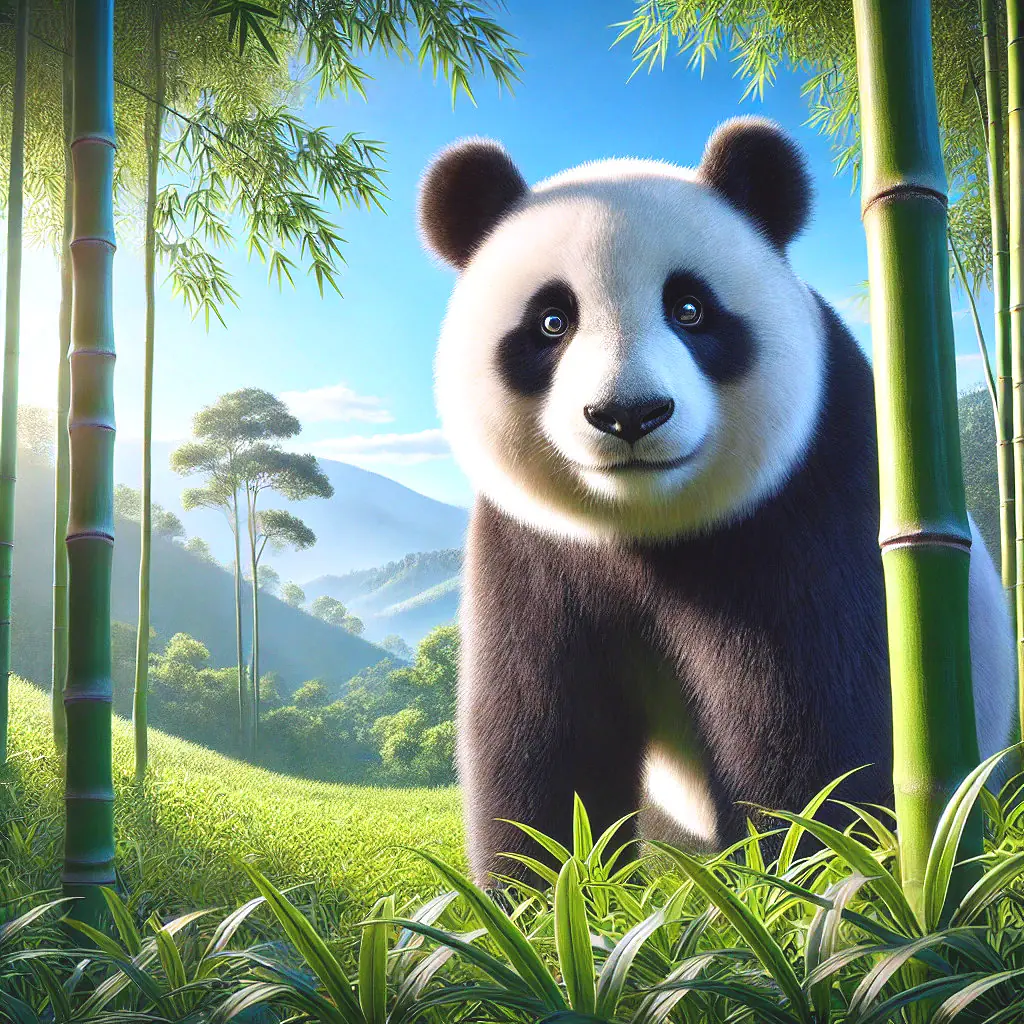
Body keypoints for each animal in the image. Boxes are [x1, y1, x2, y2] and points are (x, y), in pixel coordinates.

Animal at [416, 116, 1016, 885]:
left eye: (690, 309)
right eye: (552, 321)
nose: (629, 414)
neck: (644, 529)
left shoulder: (816, 501)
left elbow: (818, 736)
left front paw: (799, 886)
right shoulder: (532, 544)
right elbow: (544, 738)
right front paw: (542, 896)